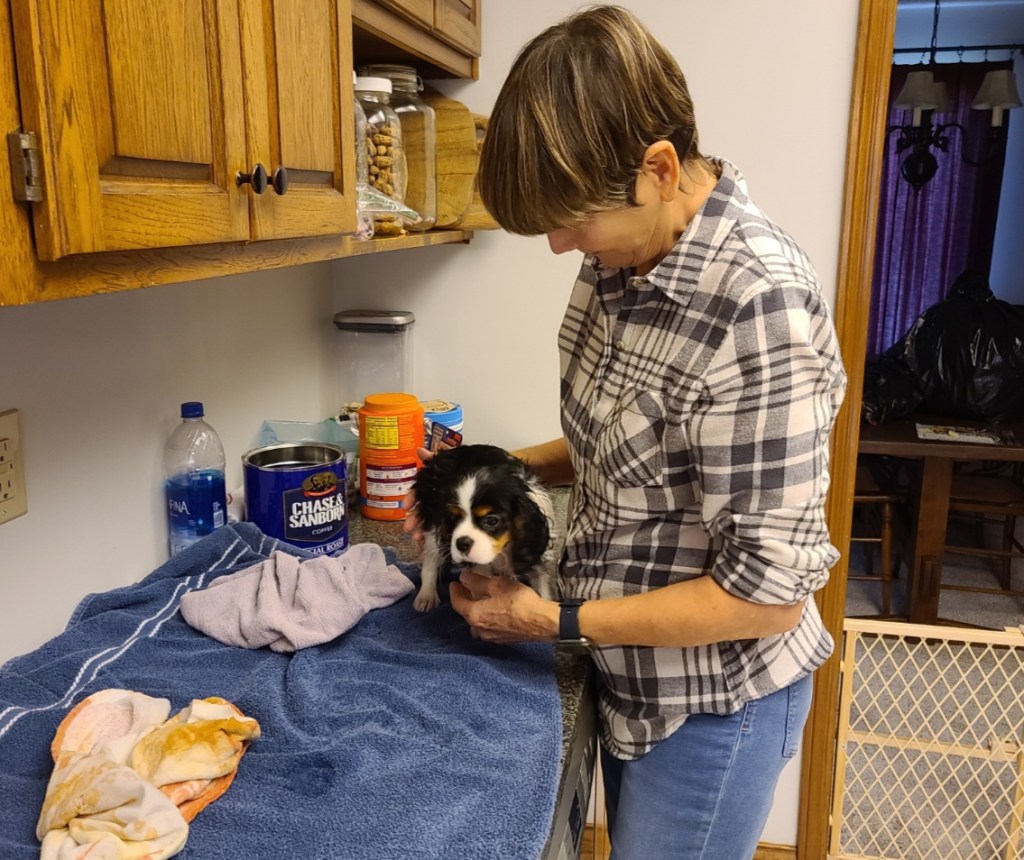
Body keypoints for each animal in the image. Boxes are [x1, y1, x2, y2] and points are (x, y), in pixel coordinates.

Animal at [411, 444, 556, 612]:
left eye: (492, 520)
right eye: (454, 518)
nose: (462, 543)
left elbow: (543, 591)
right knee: (431, 557)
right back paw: (426, 595)